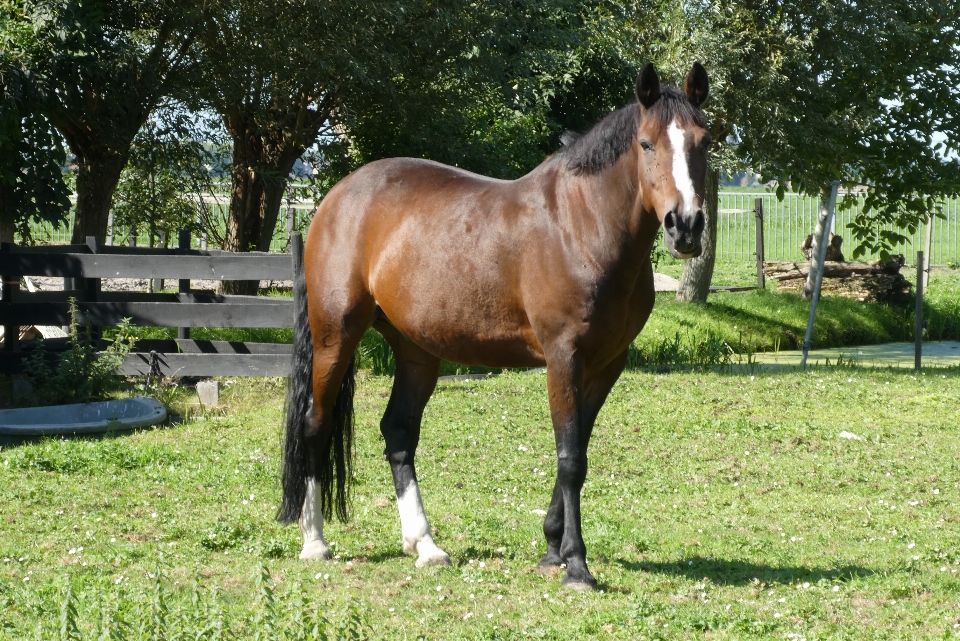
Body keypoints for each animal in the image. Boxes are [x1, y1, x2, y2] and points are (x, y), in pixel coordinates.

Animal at [278, 61, 704, 592]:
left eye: (705, 141)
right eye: (646, 144)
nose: (686, 226)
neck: (582, 227)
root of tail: (335, 198)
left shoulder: (608, 364)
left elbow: (578, 449)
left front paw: (552, 549)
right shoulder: (564, 357)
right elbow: (571, 457)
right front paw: (576, 564)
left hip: (417, 351)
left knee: (398, 432)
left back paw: (424, 545)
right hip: (336, 338)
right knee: (314, 427)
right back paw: (315, 541)